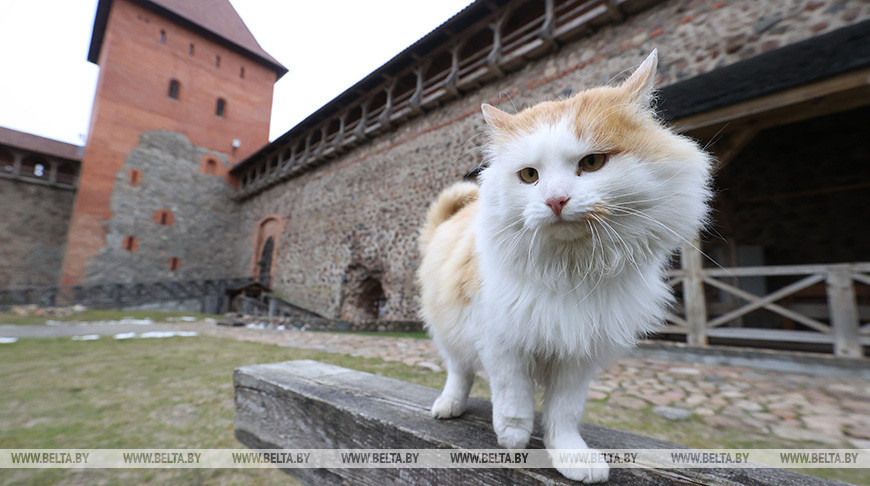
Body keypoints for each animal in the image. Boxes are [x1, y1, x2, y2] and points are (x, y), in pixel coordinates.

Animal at [418, 49, 716, 482]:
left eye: (591, 163)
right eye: (529, 175)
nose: (555, 200)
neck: (571, 268)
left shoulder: (579, 353)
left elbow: (563, 414)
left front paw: (571, 456)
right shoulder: (500, 339)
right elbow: (513, 398)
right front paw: (513, 439)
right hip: (448, 329)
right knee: (459, 371)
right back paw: (448, 406)